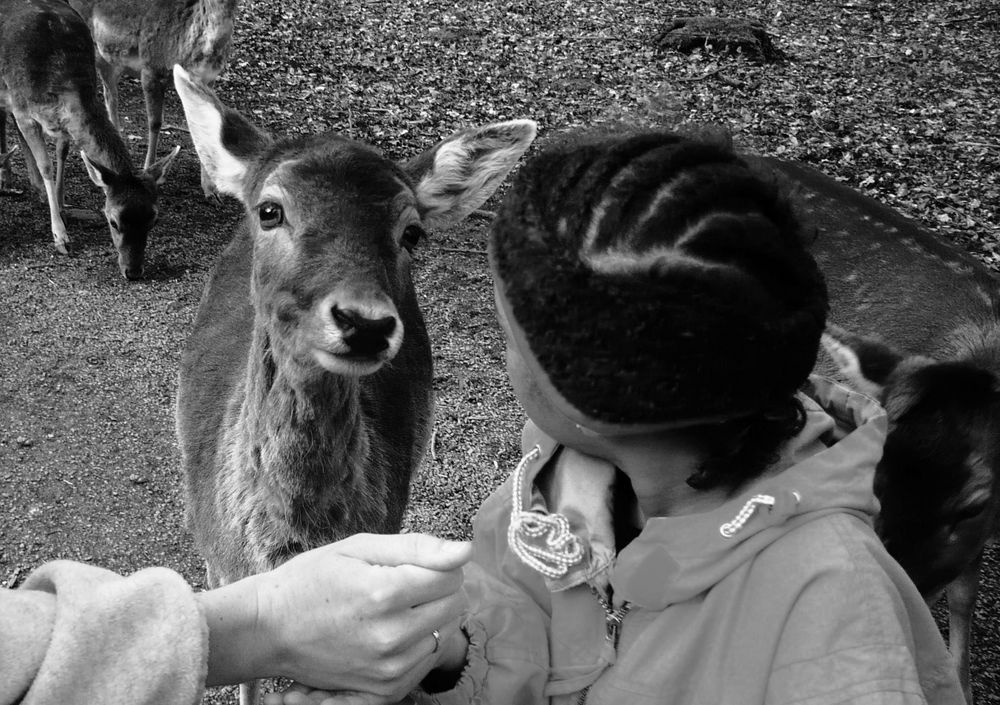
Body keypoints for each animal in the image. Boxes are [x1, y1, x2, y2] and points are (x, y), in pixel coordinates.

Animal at [0, 0, 180, 278]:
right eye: (112, 221)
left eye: (154, 219)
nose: (133, 272)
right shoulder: (23, 109)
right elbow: (46, 165)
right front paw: (61, 236)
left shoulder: (61, 122)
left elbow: (62, 152)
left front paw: (61, 205)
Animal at [68, 0, 238, 201]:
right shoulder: (150, 69)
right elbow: (155, 123)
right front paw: (149, 169)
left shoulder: (209, 81)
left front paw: (212, 192)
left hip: (109, 60)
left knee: (110, 95)